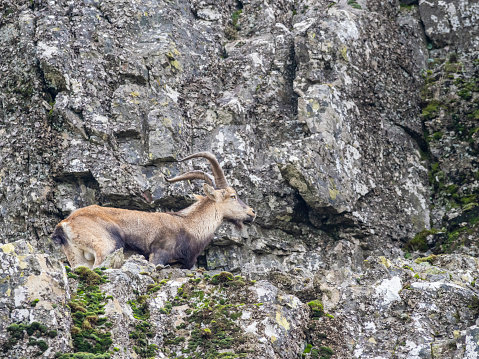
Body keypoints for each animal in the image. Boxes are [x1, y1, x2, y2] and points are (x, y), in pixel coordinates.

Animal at [50, 152, 256, 270]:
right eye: (233, 196)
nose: (252, 212)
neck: (189, 225)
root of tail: (65, 224)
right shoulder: (158, 254)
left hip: (77, 258)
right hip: (107, 246)